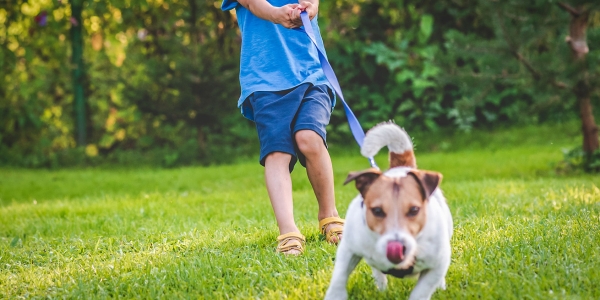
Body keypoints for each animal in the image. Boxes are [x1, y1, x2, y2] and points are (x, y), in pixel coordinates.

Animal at [326, 122, 452, 300]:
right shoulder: (348, 249)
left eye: (414, 210)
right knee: (377, 271)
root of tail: (402, 167)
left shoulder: (437, 263)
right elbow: (339, 277)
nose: (396, 247)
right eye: (377, 210)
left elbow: (422, 291)